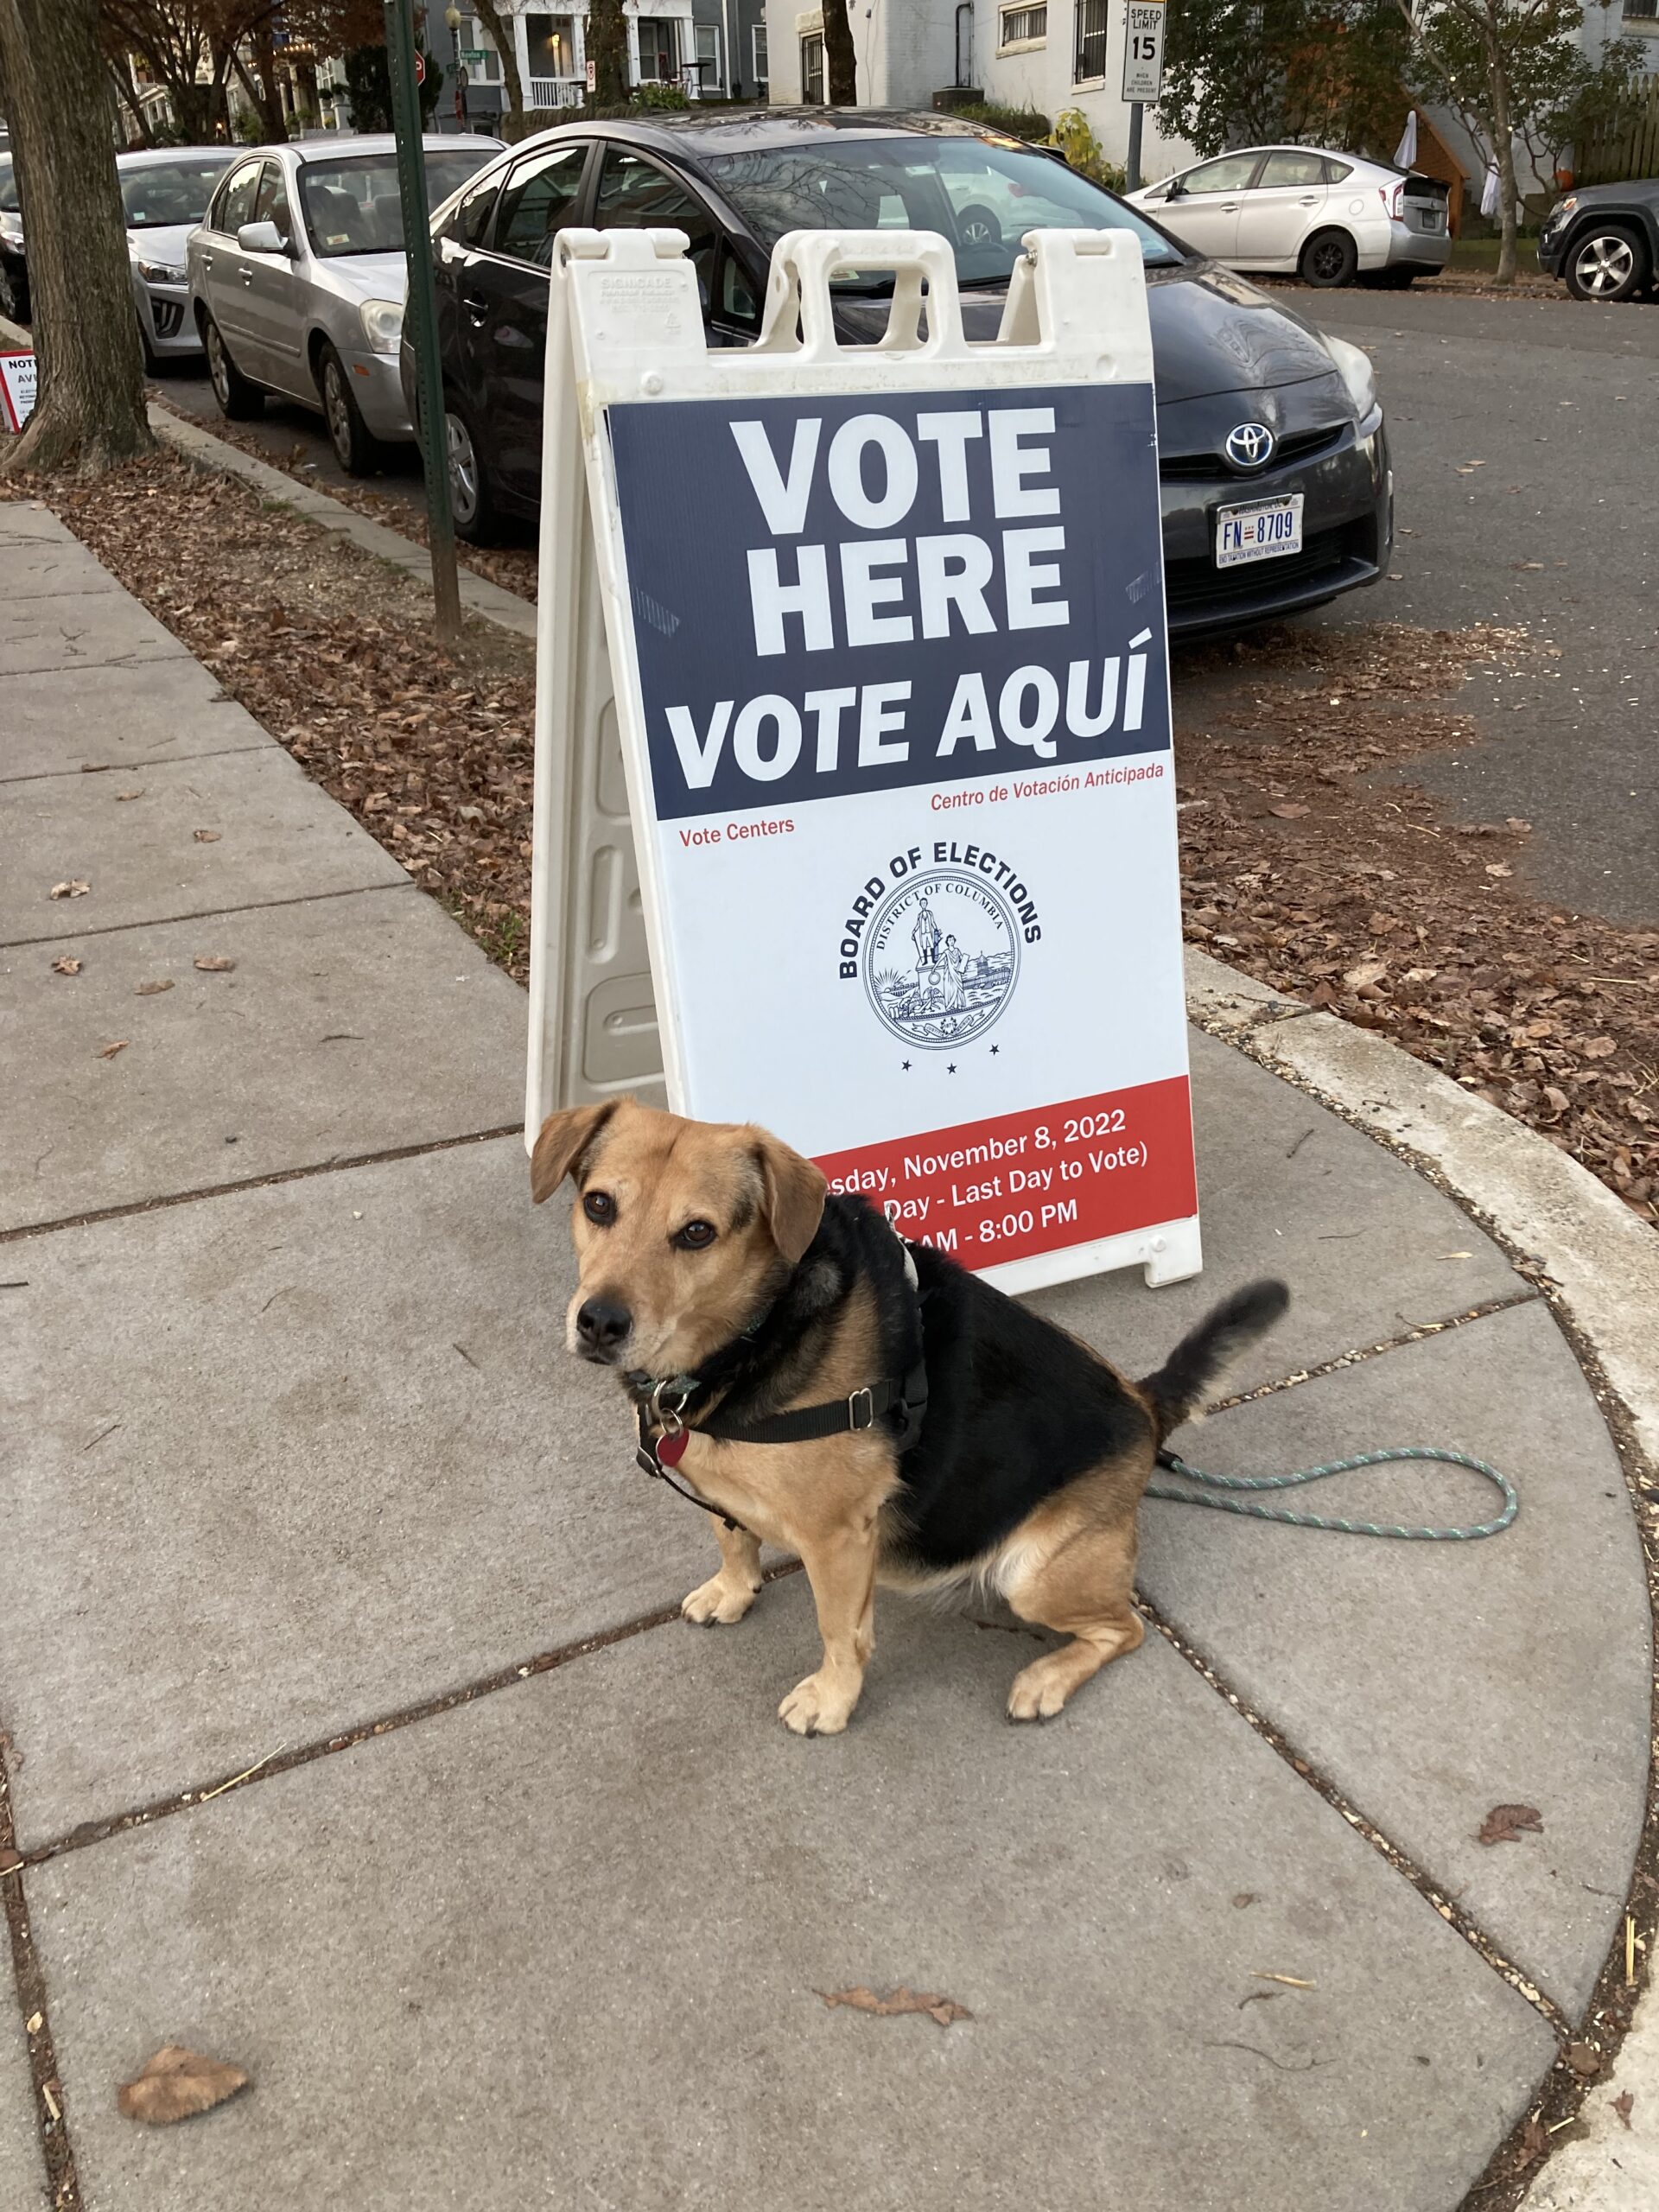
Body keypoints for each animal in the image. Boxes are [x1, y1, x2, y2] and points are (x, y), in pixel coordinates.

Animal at [532, 1096, 1282, 1734]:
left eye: (696, 1233)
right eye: (598, 1205)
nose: (599, 1323)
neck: (756, 1328)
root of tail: (1144, 1405)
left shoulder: (836, 1540)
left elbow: (840, 1633)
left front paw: (832, 1701)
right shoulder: (722, 1486)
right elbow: (732, 1536)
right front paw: (733, 1590)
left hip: (1033, 1575)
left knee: (1124, 1628)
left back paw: (1045, 1678)